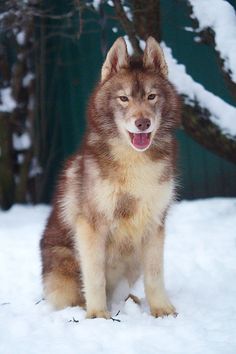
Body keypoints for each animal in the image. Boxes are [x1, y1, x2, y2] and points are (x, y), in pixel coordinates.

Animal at [40, 37, 181, 320]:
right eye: (123, 98)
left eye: (151, 96)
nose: (142, 123)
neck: (135, 162)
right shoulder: (91, 226)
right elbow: (95, 277)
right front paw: (97, 316)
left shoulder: (154, 224)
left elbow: (155, 275)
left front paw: (161, 309)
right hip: (63, 262)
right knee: (72, 296)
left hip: (133, 260)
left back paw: (131, 301)